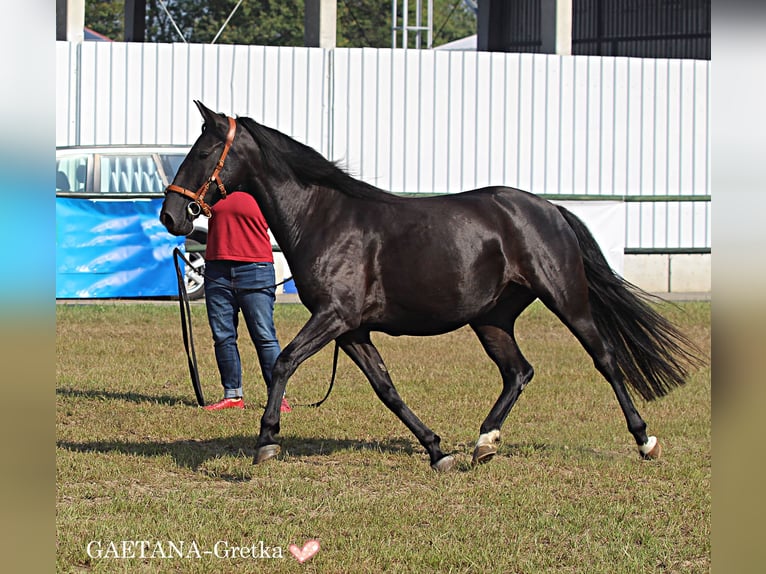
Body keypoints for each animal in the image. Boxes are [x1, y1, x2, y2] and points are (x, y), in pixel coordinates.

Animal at [160, 102, 704, 472]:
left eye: (203, 151)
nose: (170, 215)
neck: (324, 217)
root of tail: (548, 208)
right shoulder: (352, 331)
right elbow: (386, 388)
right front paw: (437, 450)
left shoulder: (334, 317)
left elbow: (284, 361)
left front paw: (267, 440)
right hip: (491, 319)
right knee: (518, 372)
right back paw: (484, 443)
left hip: (567, 300)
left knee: (605, 359)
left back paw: (645, 440)